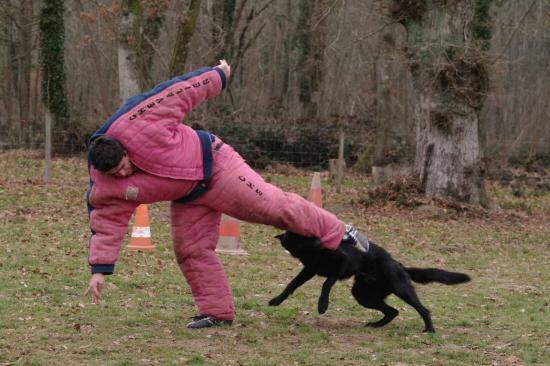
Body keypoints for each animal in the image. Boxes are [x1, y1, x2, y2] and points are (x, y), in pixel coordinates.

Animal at [270, 232, 472, 332]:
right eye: (303, 237)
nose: (321, 241)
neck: (313, 251)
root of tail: (399, 264)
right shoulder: (309, 270)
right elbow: (292, 284)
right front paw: (277, 300)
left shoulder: (342, 262)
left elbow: (326, 283)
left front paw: (322, 304)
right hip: (363, 295)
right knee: (393, 311)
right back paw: (376, 325)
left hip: (401, 289)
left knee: (423, 310)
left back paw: (429, 329)